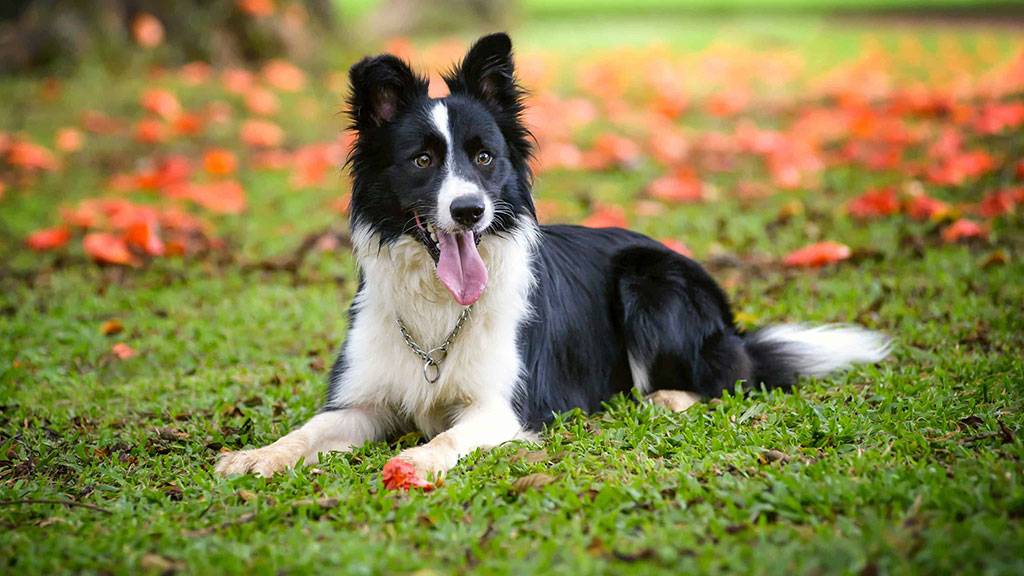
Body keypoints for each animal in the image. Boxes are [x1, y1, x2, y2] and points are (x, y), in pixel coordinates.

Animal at [216, 33, 888, 477]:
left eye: (485, 157)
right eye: (423, 160)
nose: (469, 212)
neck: (438, 310)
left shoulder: (503, 407)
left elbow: (446, 439)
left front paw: (417, 460)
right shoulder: (361, 402)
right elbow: (307, 429)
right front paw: (254, 456)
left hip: (650, 282)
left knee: (728, 378)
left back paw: (666, 398)